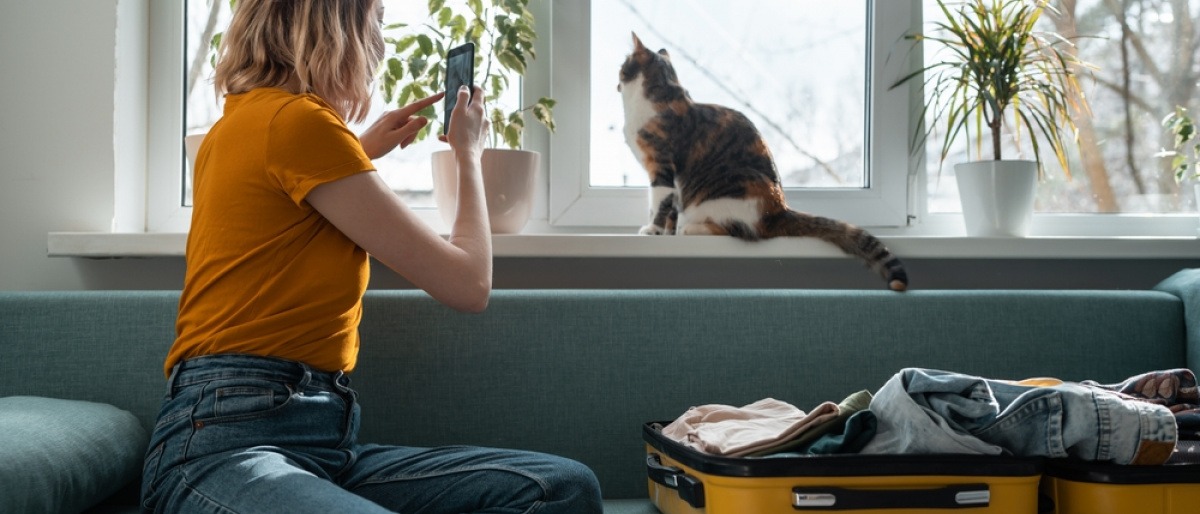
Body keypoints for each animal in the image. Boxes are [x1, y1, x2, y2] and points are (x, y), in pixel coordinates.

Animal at [619, 32, 907, 290]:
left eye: (622, 65)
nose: (617, 80)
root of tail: (780, 209)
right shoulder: (675, 182)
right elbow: (671, 208)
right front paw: (665, 232)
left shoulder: (661, 167)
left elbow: (659, 204)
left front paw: (652, 230)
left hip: (720, 198)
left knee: (738, 231)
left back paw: (690, 229)